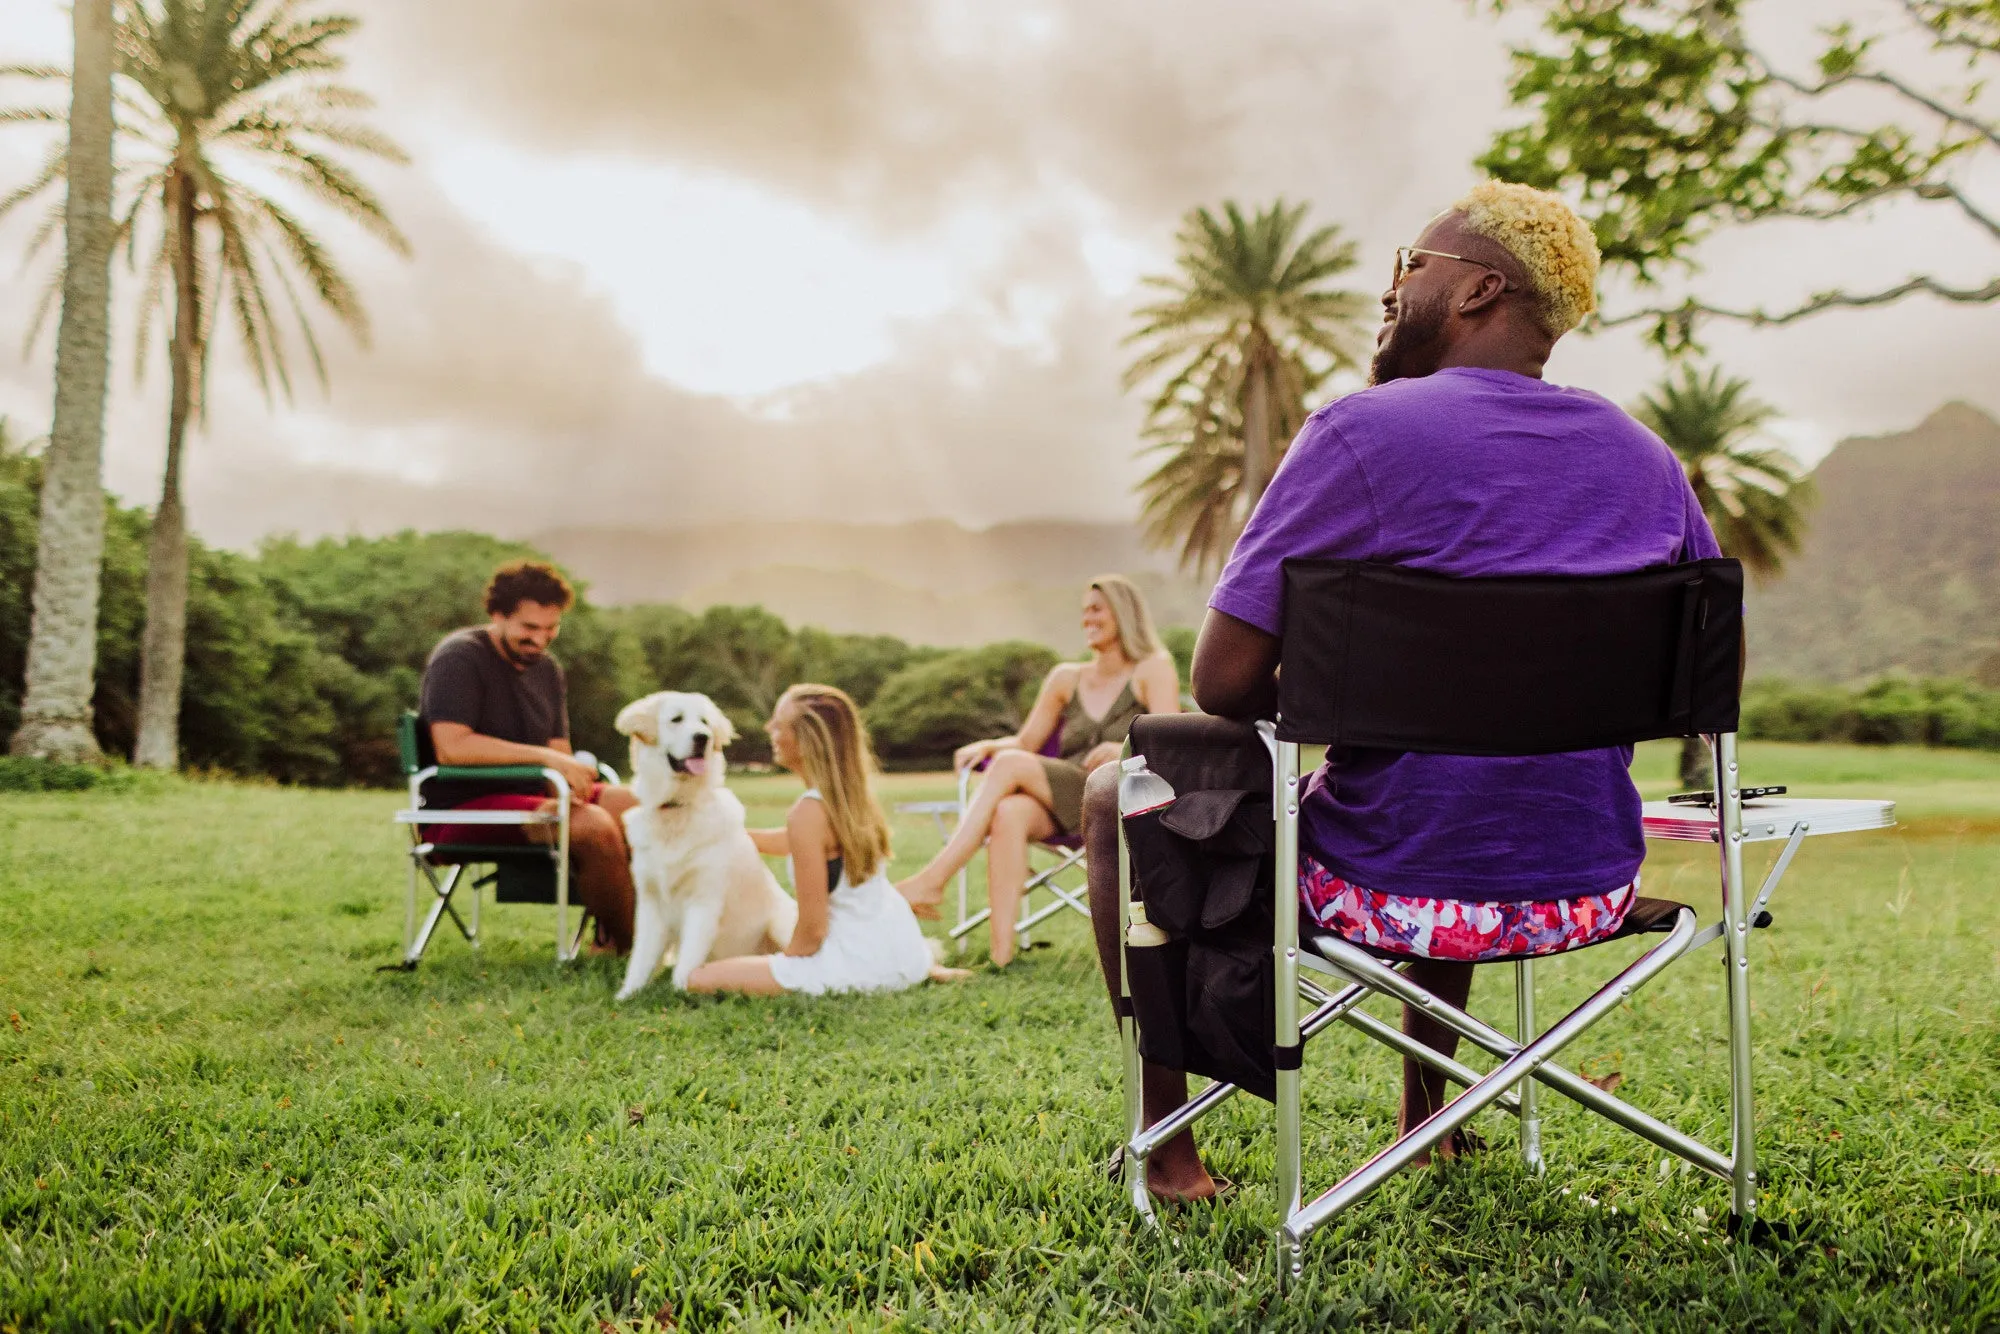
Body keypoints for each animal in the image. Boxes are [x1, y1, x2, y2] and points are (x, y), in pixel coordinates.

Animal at [616, 696, 796, 996]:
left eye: (705, 722)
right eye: (676, 719)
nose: (703, 738)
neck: (677, 810)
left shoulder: (704, 900)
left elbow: (687, 961)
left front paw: (679, 994)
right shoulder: (651, 903)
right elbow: (641, 958)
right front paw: (627, 995)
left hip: (781, 923)